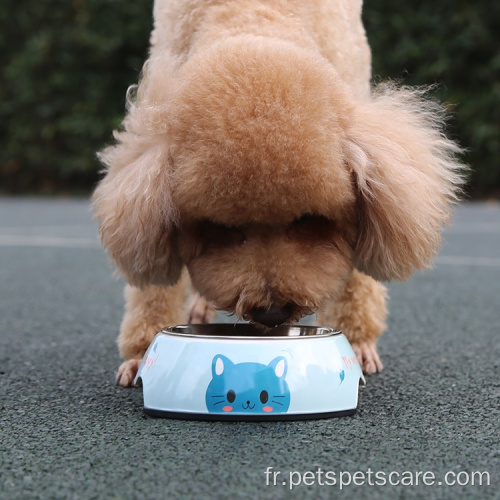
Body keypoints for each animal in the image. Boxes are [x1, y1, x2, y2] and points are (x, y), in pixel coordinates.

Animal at [93, 0, 460, 386]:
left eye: (310, 219)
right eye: (221, 227)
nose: (272, 312)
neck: (258, 19)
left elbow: (357, 274)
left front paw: (357, 342)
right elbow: (154, 281)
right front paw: (143, 352)